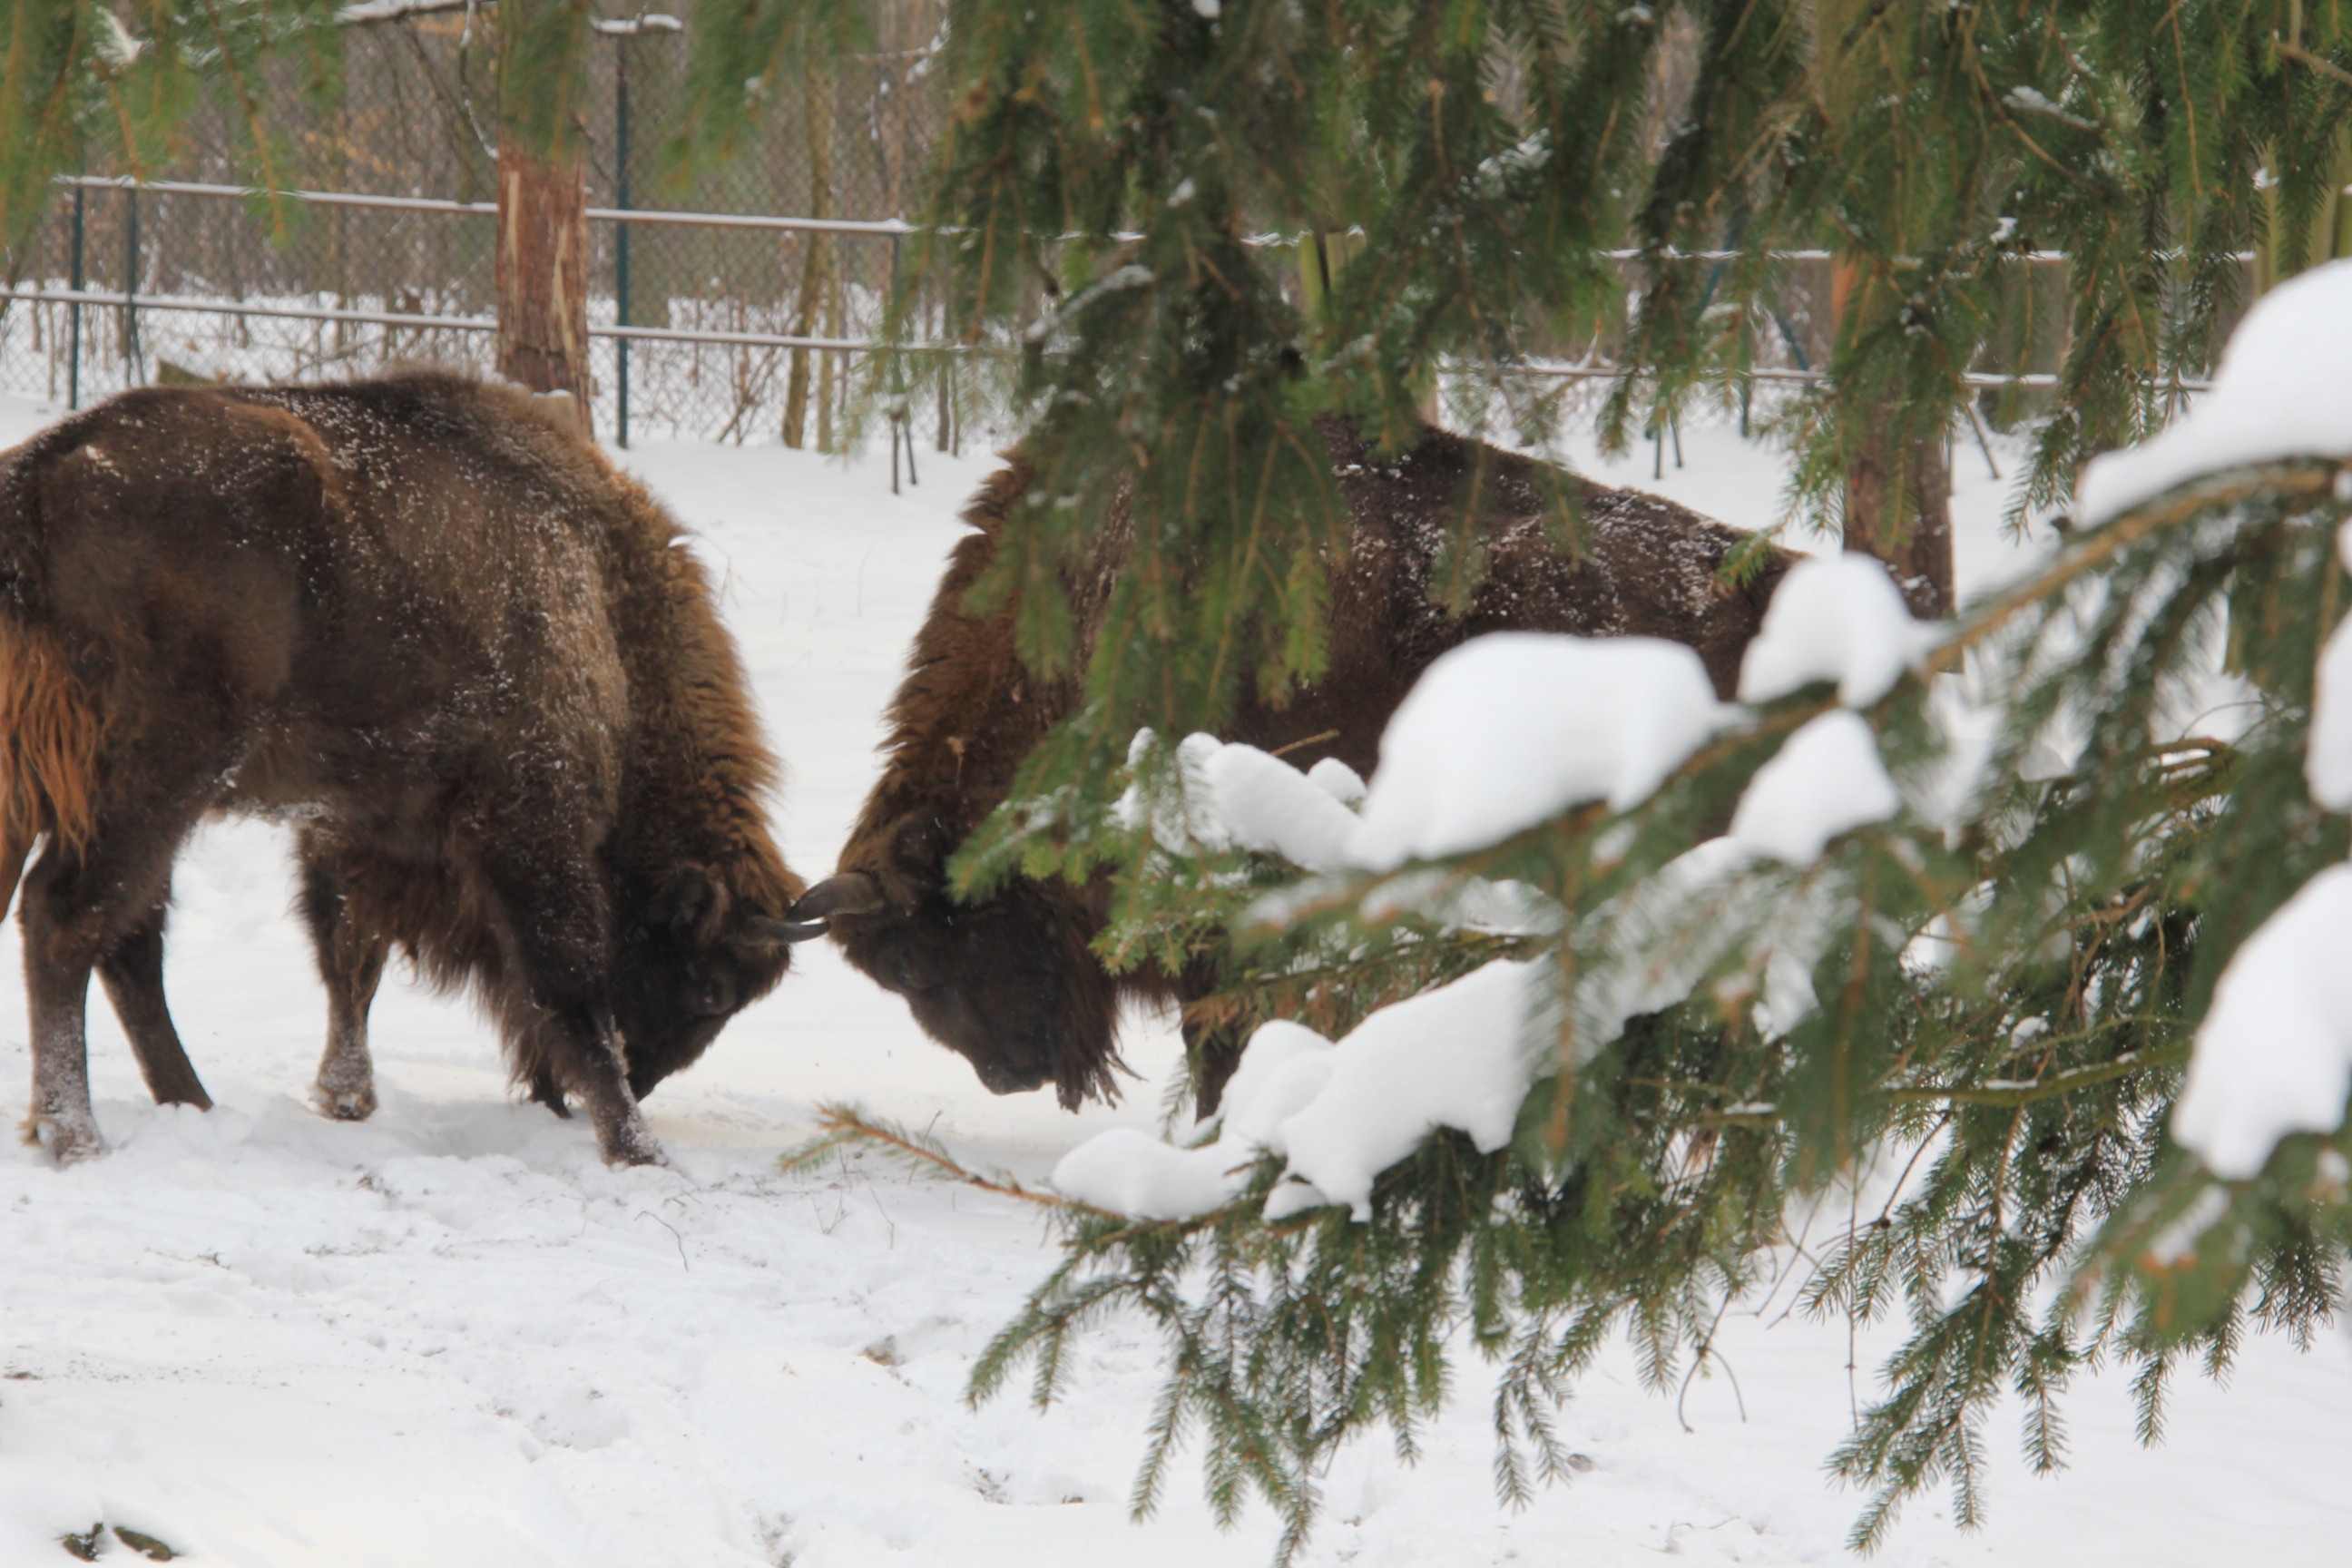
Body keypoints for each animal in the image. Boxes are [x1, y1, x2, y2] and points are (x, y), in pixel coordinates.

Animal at [2, 373, 818, 1171]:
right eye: (711, 991)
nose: (641, 1080)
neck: (602, 597)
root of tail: (41, 478)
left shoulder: (358, 826)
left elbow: (351, 956)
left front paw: (347, 1097)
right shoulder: (529, 817)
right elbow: (571, 982)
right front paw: (637, 1150)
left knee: (121, 936)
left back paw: (189, 1106)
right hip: (161, 778)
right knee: (68, 918)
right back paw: (79, 1138)